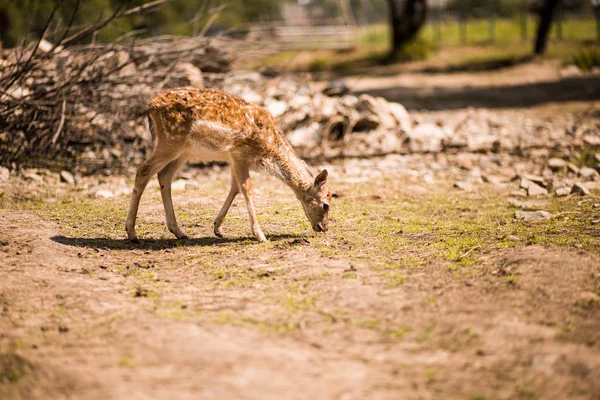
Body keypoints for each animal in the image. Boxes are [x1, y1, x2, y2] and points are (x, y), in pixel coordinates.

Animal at [126, 87, 332, 242]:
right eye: (326, 205)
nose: (324, 228)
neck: (269, 149)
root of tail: (151, 106)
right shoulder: (240, 153)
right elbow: (247, 189)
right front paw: (260, 235)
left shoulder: (233, 158)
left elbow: (235, 187)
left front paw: (218, 228)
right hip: (170, 140)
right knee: (143, 171)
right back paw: (132, 233)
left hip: (183, 151)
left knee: (164, 176)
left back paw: (179, 232)